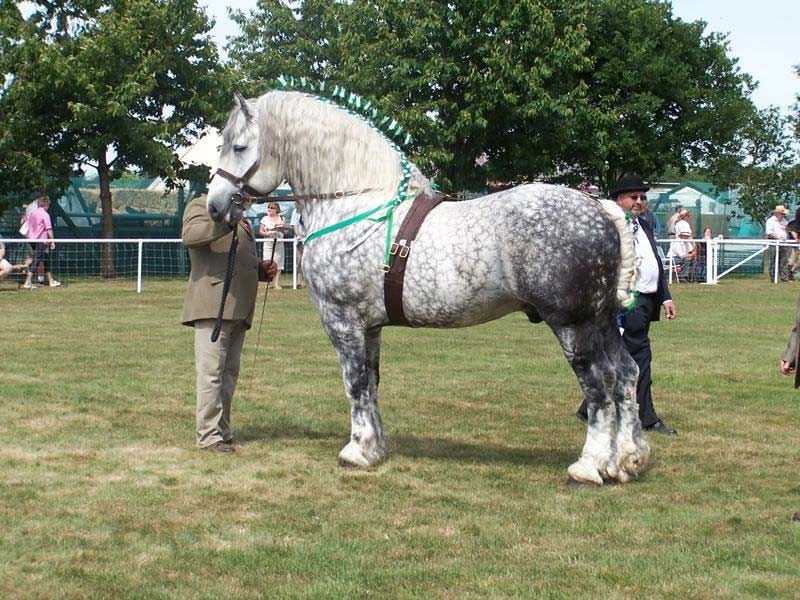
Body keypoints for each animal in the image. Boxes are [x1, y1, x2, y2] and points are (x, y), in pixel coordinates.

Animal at [206, 88, 648, 482]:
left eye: (239, 146)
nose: (215, 205)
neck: (355, 204)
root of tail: (601, 211)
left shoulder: (342, 321)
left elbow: (355, 382)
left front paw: (355, 451)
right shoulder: (370, 327)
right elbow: (372, 382)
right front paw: (374, 449)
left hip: (573, 324)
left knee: (599, 386)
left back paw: (590, 466)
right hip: (602, 321)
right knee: (627, 376)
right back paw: (627, 460)